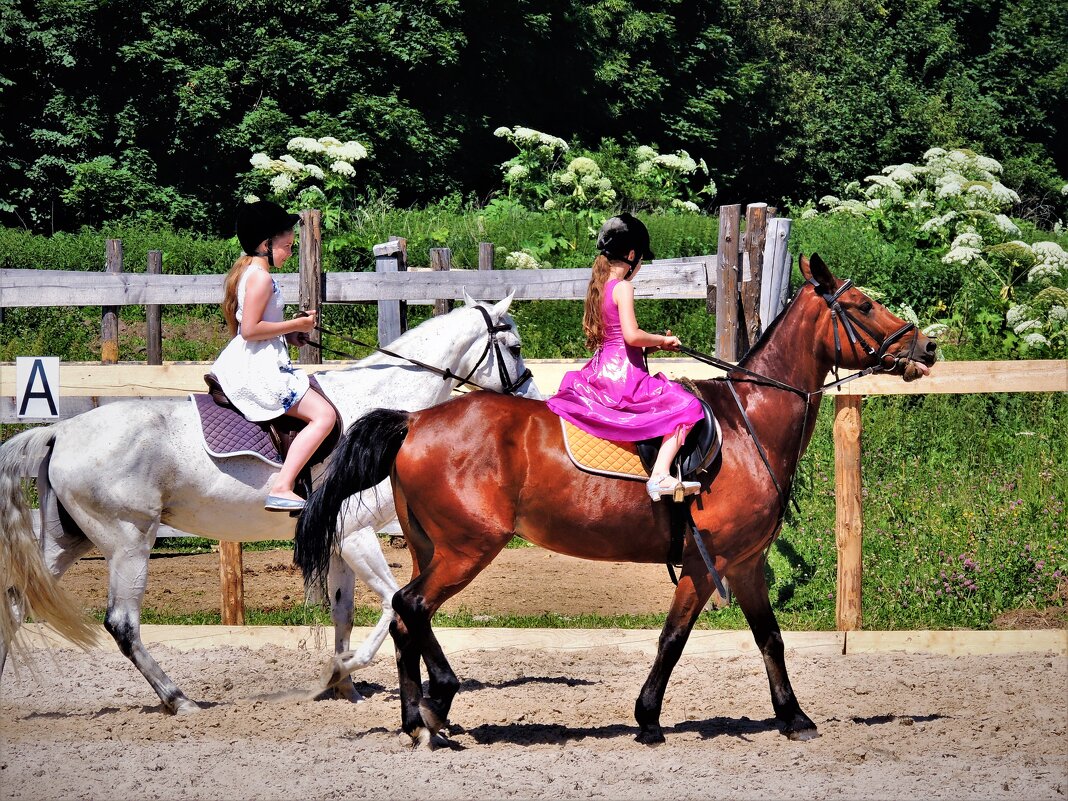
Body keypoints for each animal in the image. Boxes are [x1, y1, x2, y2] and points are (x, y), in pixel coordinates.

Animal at [0, 294, 538, 713]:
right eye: (512, 348)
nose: (531, 395)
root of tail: (61, 430)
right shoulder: (357, 534)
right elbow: (391, 603)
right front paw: (343, 670)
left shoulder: (337, 539)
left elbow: (344, 612)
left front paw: (345, 686)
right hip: (129, 542)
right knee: (122, 623)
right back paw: (179, 699)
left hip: (68, 539)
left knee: (16, 601)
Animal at [294, 255, 935, 747]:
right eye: (862, 307)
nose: (926, 347)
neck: (748, 425)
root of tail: (415, 420)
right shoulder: (704, 563)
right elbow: (673, 639)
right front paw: (648, 719)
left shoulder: (746, 562)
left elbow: (769, 637)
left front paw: (794, 716)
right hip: (466, 548)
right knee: (410, 605)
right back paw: (437, 702)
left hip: (433, 546)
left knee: (406, 616)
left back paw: (419, 720)